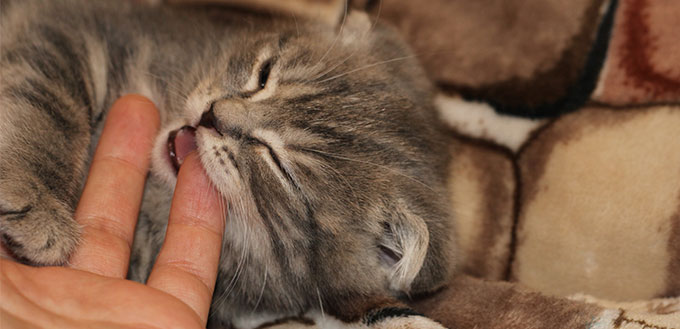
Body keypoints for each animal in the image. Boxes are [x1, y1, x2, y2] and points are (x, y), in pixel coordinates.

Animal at [1, 0, 456, 326]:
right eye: (264, 73)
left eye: (280, 168)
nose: (213, 116)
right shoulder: (77, 28)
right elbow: (46, 104)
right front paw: (35, 198)